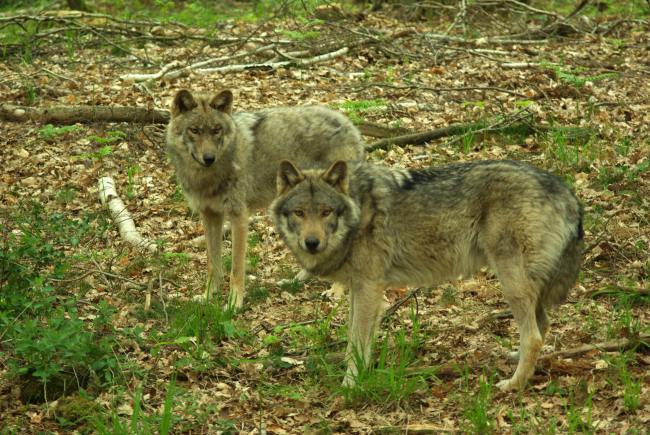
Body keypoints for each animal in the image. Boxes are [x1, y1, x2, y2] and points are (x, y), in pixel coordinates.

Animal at [165, 90, 362, 310]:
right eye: (194, 130)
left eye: (216, 130)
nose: (209, 158)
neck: (206, 177)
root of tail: (347, 122)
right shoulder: (210, 215)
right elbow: (211, 263)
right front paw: (208, 296)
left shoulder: (239, 216)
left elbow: (236, 269)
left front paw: (234, 304)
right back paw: (296, 281)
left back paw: (336, 290)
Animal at [268, 159, 584, 392]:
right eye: (299, 213)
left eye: (326, 212)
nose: (311, 243)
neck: (358, 212)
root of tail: (565, 191)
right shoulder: (360, 289)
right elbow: (353, 343)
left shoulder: (369, 286)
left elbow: (357, 342)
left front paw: (350, 385)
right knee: (542, 324)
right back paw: (518, 359)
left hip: (510, 280)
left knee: (533, 335)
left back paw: (514, 384)